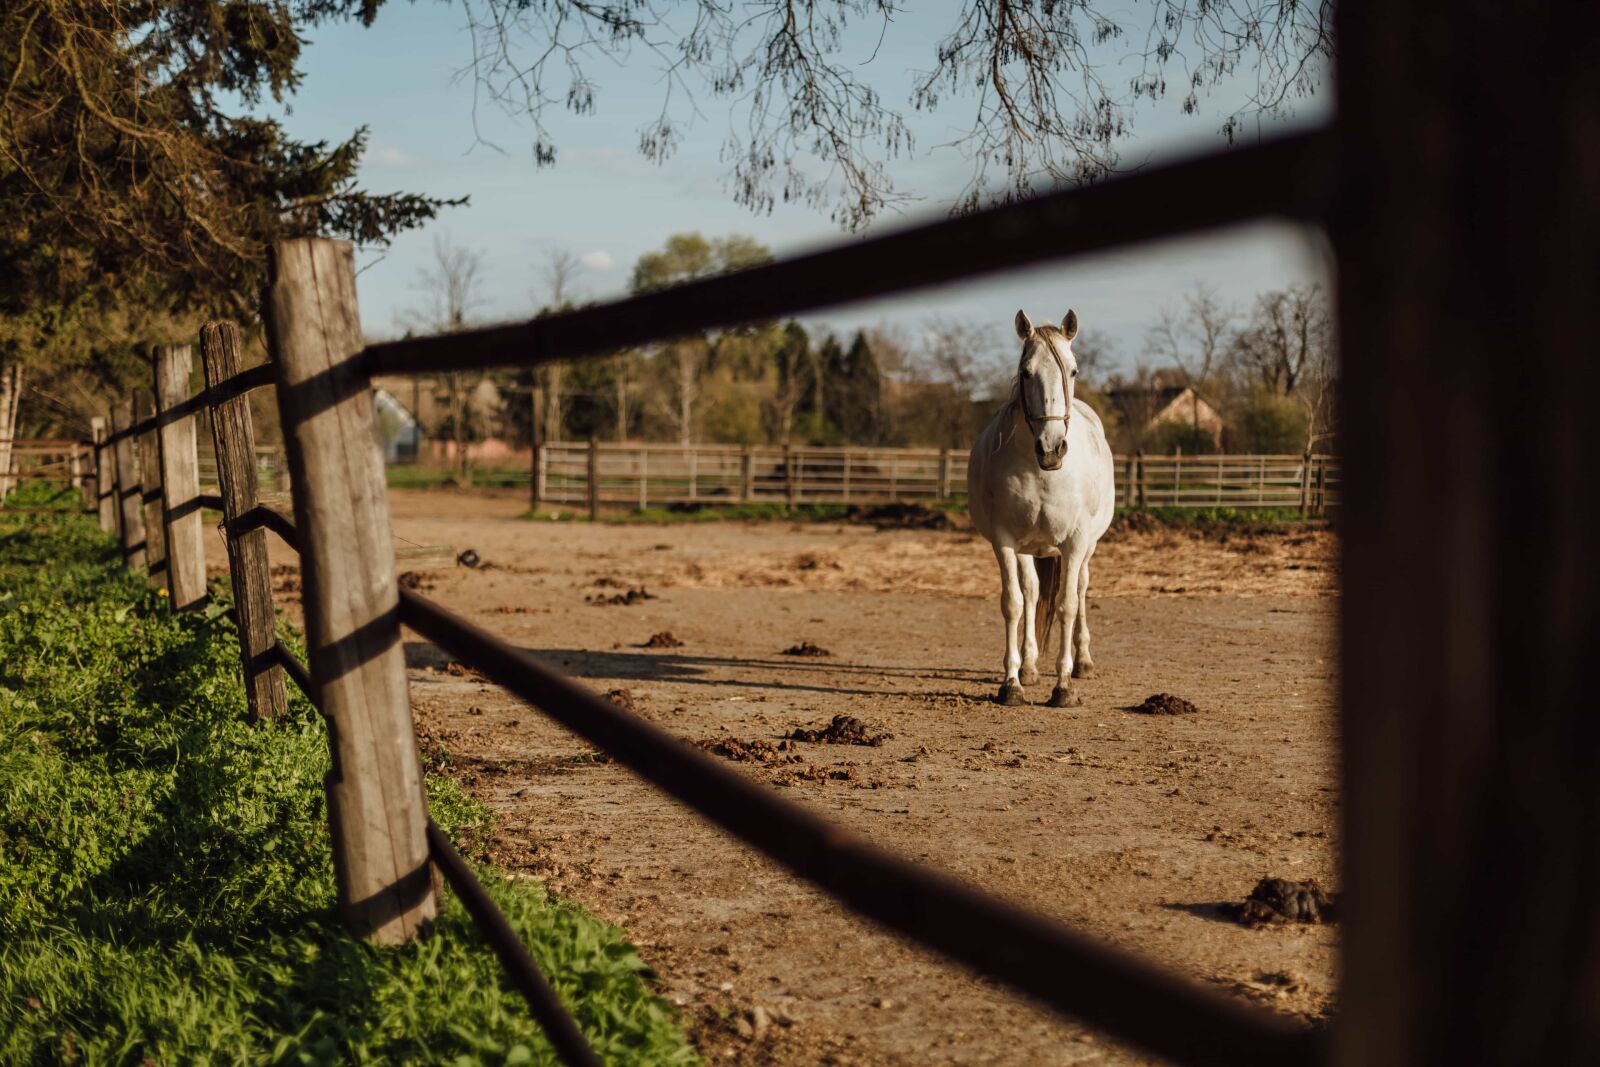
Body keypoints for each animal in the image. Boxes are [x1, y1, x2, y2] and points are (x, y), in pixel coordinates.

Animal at [967, 309, 1117, 707]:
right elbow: (1014, 603)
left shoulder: (1076, 542)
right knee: (1032, 593)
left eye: (1074, 370)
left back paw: (1083, 662)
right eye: (1025, 372)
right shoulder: (1004, 541)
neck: (1041, 471)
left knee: (1081, 589)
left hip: (1087, 548)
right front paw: (1012, 683)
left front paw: (1064, 686)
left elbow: (1067, 604)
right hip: (1027, 550)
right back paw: (1030, 667)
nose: (1052, 448)